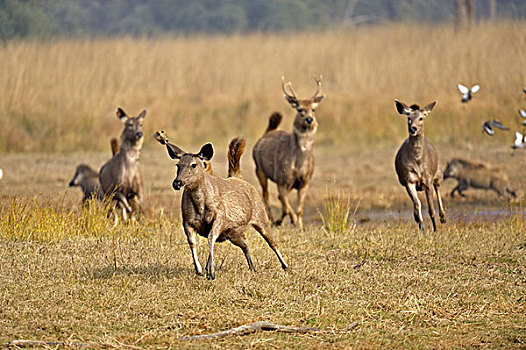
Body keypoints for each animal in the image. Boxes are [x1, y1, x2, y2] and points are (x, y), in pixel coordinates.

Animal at [155, 133, 288, 280]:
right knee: (245, 245)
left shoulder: (220, 217)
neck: (200, 207)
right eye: (178, 165)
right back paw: (252, 268)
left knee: (272, 242)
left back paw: (286, 266)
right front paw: (200, 269)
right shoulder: (187, 221)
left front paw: (211, 272)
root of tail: (239, 178)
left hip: (260, 215)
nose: (177, 183)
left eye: (193, 165)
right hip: (233, 233)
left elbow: (210, 237)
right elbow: (192, 242)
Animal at [253, 76, 326, 230]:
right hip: (260, 170)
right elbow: (286, 206)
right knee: (266, 195)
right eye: (299, 109)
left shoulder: (305, 182)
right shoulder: (282, 179)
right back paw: (272, 219)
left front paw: (300, 225)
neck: (298, 166)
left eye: (313, 109)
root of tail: (266, 133)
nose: (309, 119)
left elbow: (299, 208)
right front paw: (292, 221)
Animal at [396, 100, 450, 234]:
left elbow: (431, 209)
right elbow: (417, 205)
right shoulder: (408, 180)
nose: (413, 128)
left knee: (438, 187)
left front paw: (435, 229)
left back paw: (443, 218)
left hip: (438, 173)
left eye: (421, 118)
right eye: (408, 118)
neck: (418, 162)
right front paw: (423, 228)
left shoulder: (428, 180)